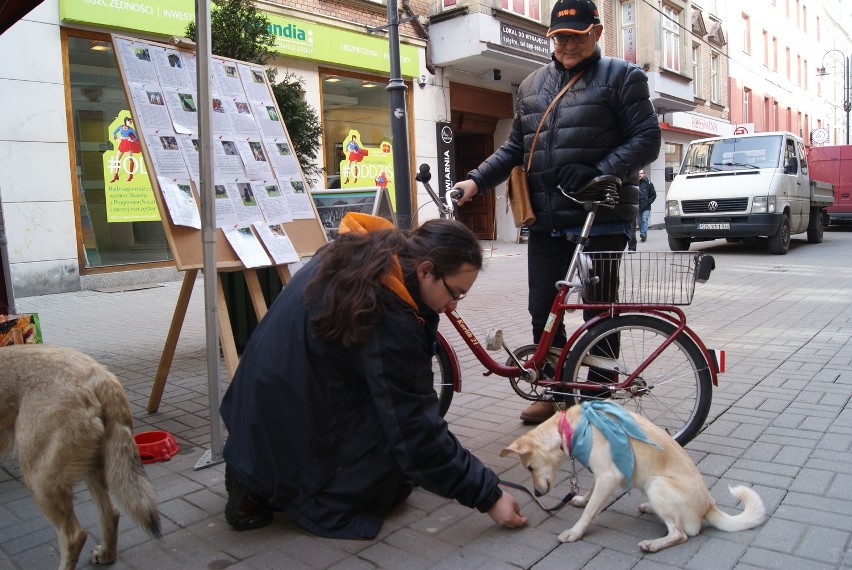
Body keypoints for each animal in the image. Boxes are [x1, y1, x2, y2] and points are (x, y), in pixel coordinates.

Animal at [0, 344, 161, 564]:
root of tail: (98, 374)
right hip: (91, 469)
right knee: (111, 514)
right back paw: (106, 556)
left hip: (39, 481)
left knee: (74, 536)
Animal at [500, 400, 764, 552]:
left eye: (529, 468)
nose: (536, 493)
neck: (572, 427)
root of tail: (709, 505)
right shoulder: (601, 473)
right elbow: (590, 493)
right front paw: (582, 499)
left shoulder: (608, 476)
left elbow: (589, 513)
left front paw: (575, 532)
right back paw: (648, 508)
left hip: (657, 484)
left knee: (680, 534)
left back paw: (653, 544)